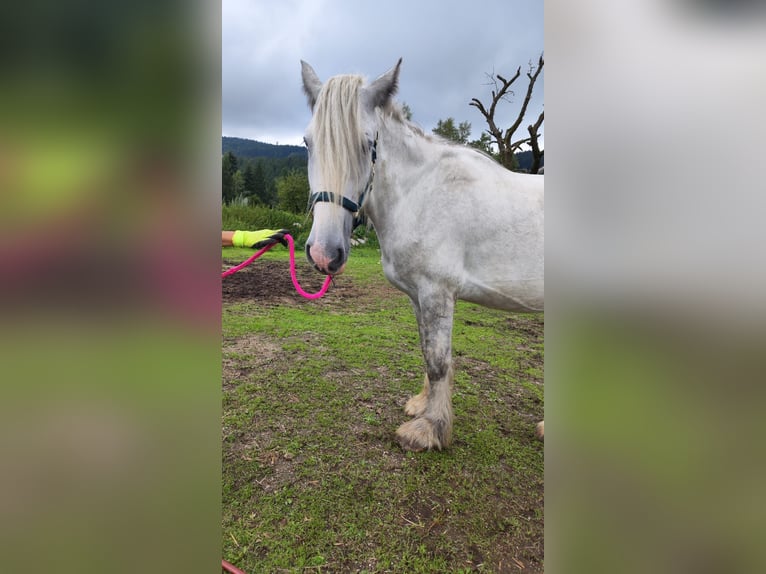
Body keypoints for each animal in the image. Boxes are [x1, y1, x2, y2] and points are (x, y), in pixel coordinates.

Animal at [300, 59, 544, 451]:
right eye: (308, 142)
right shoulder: (418, 296)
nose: (325, 253)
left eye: (367, 143)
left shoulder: (437, 292)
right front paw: (421, 406)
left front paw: (430, 429)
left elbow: (438, 360)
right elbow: (425, 348)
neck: (420, 192)